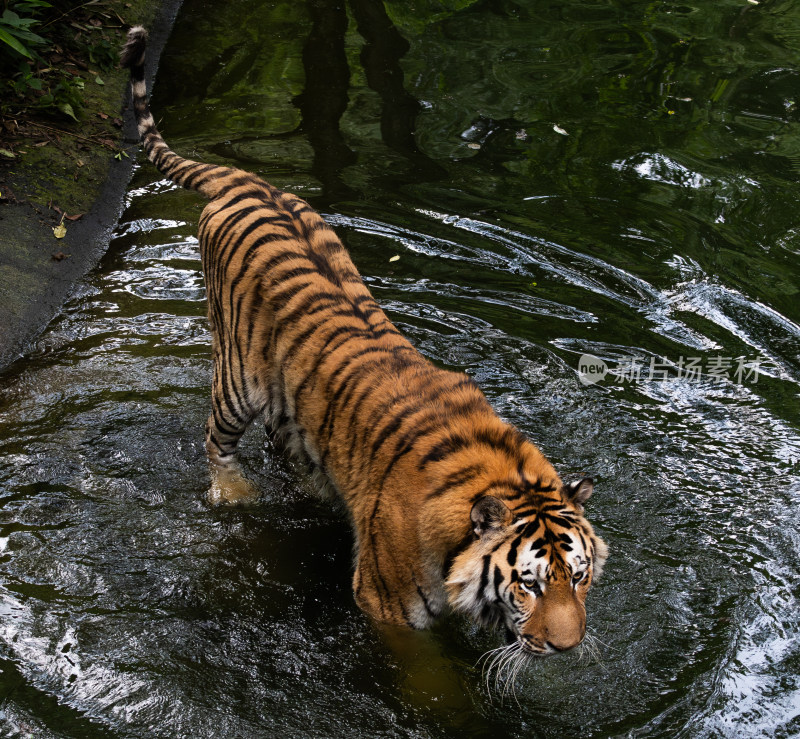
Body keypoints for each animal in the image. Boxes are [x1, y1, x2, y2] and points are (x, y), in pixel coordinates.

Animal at [120, 26, 608, 656]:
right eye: (528, 583)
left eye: (579, 576)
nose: (567, 648)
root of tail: (243, 179)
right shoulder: (388, 607)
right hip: (236, 380)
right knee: (216, 440)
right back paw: (234, 492)